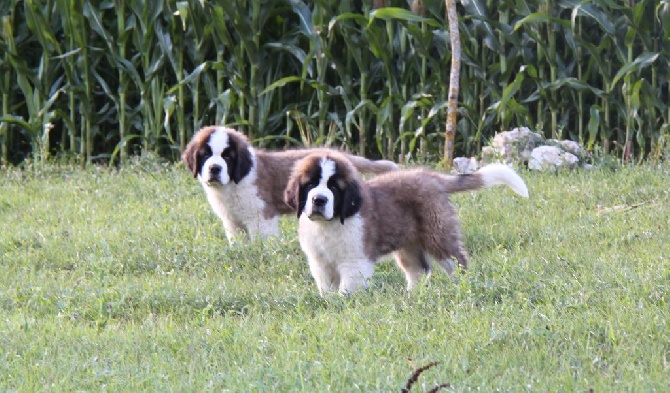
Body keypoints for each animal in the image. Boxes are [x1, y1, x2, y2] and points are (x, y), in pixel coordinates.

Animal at [180, 125, 400, 242]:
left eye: (227, 156)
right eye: (206, 155)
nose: (215, 168)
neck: (234, 182)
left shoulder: (262, 215)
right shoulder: (232, 221)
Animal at [284, 150, 532, 294]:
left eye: (334, 187)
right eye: (310, 184)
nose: (319, 199)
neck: (330, 223)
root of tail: (433, 178)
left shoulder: (354, 260)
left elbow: (348, 287)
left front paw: (344, 303)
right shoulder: (320, 261)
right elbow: (326, 287)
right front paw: (329, 302)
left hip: (437, 233)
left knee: (456, 261)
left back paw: (462, 287)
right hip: (409, 244)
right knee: (418, 270)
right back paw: (412, 297)